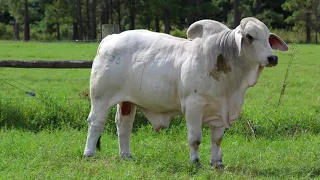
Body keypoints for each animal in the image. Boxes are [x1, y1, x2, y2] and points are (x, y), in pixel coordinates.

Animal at [82, 16, 288, 167]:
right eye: (250, 37)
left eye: (268, 38)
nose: (273, 58)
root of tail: (110, 38)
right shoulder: (193, 106)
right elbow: (195, 138)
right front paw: (195, 161)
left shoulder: (220, 111)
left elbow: (217, 139)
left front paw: (217, 163)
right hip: (100, 99)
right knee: (96, 123)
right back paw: (89, 153)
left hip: (128, 102)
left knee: (123, 126)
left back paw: (126, 156)